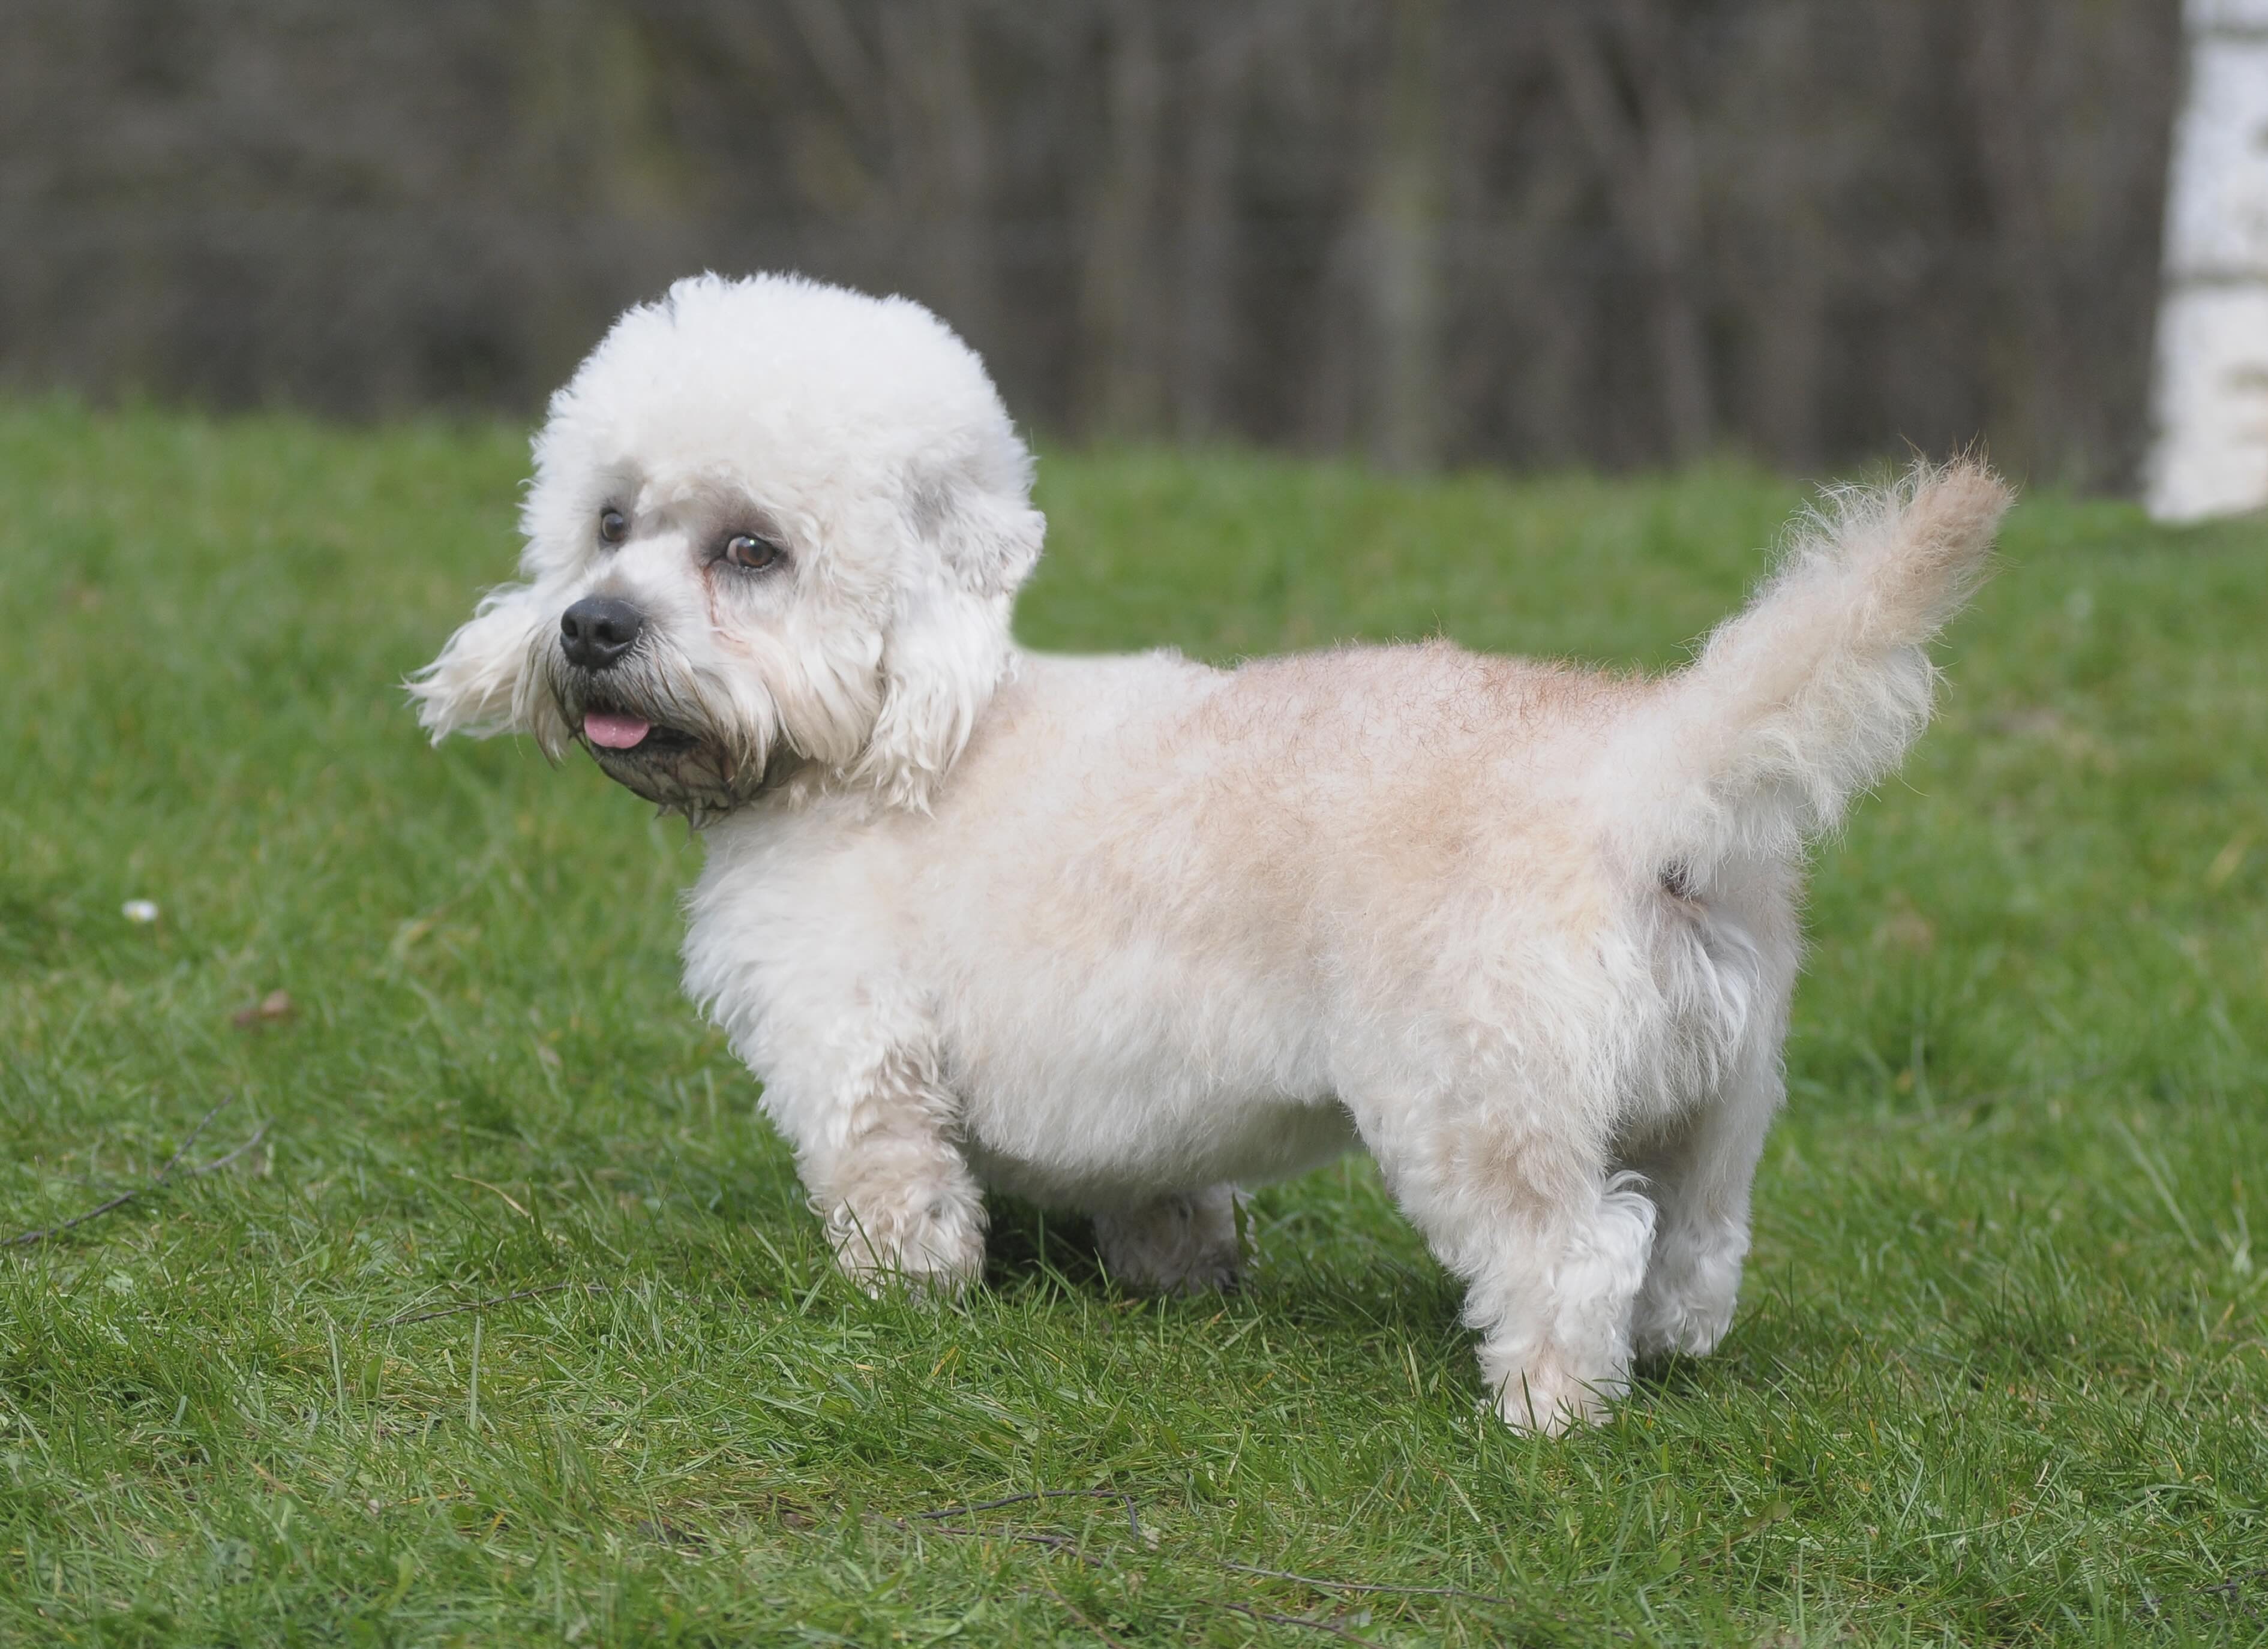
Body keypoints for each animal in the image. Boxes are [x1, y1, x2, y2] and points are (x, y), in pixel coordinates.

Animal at [417, 271, 2014, 1433]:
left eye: (751, 551)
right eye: (608, 522)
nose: (590, 628)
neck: (896, 731)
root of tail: (1637, 776)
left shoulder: (852, 1042)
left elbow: (894, 1186)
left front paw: (904, 1295)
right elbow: (1167, 1190)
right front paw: (1182, 1271)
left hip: (1478, 1108)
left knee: (1575, 1254)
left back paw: (1547, 1406)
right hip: (1723, 1099)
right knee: (1693, 1248)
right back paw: (1665, 1350)